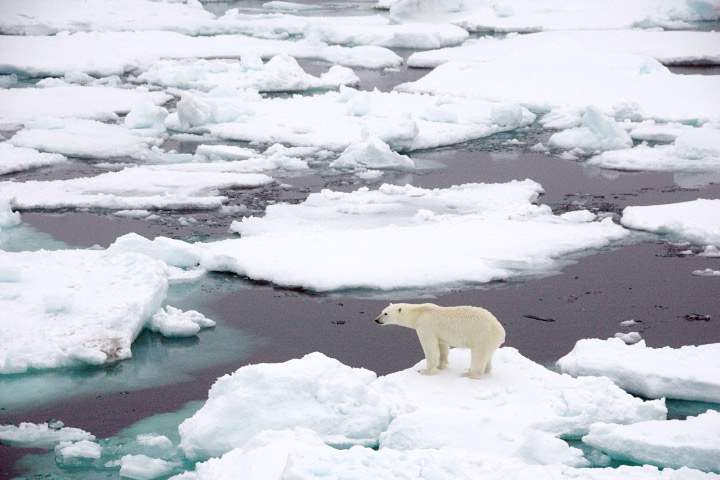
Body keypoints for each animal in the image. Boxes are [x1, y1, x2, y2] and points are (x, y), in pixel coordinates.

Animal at [375, 303, 505, 379]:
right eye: (382, 311)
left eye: (385, 313)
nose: (376, 320)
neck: (419, 313)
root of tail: (501, 331)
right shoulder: (439, 334)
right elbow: (442, 347)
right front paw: (441, 366)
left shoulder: (425, 326)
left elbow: (430, 349)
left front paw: (424, 371)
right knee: (487, 356)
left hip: (482, 336)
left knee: (478, 356)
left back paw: (468, 373)